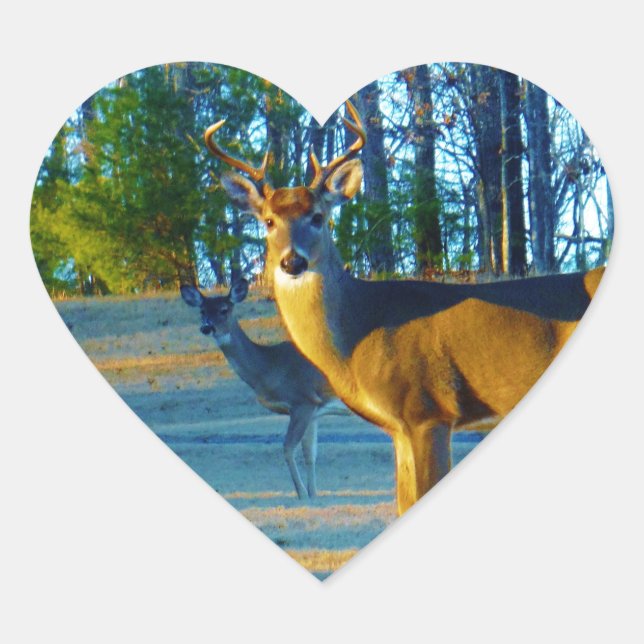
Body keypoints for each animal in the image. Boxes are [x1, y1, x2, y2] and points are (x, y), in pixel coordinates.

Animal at [180, 278, 349, 500]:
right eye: (202, 311)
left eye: (224, 309)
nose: (206, 328)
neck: (269, 368)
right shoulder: (314, 409)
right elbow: (310, 453)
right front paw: (313, 494)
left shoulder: (302, 400)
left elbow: (288, 448)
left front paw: (301, 494)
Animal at [204, 101, 605, 515]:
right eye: (268, 221)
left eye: (318, 216)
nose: (292, 262)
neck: (358, 333)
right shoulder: (397, 427)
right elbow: (402, 501)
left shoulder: (427, 409)